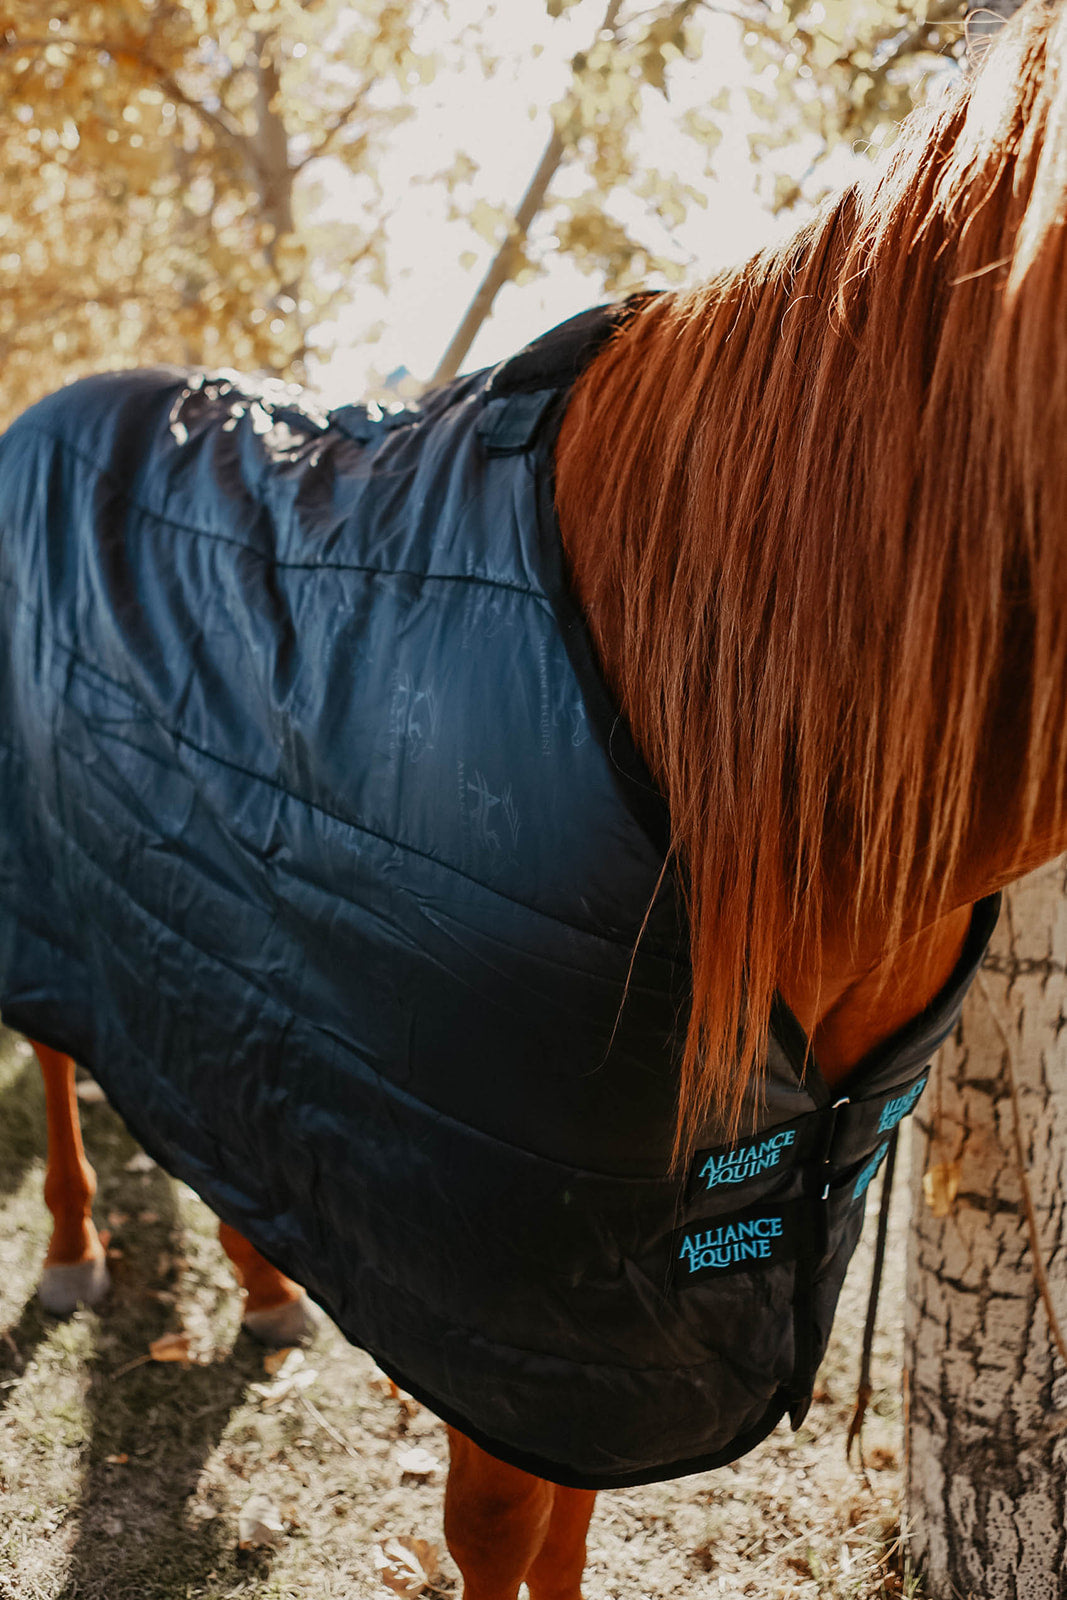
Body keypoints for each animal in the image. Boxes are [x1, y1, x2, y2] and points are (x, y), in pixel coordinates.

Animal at [3, 0, 1066, 1593]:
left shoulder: (611, 1337)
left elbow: (566, 1535)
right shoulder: (509, 1311)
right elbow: (500, 1533)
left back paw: (262, 1286)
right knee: (61, 1057)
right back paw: (74, 1251)